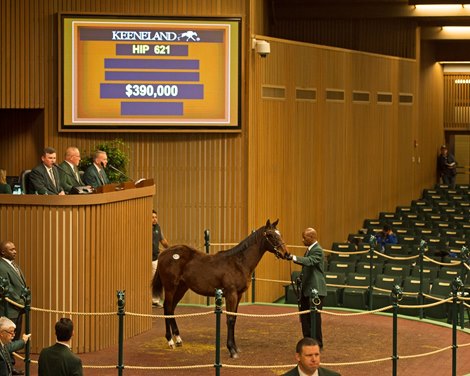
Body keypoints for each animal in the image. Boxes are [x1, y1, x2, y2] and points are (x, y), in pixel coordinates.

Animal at [152, 219, 288, 356]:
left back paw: (178, 339)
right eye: (270, 235)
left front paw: (235, 348)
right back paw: (170, 341)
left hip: (181, 288)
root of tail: (164, 253)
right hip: (170, 287)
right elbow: (230, 319)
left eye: (280, 234)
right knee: (167, 308)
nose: (286, 254)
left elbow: (234, 318)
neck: (238, 263)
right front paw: (231, 349)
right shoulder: (231, 295)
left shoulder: (238, 295)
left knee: (171, 309)